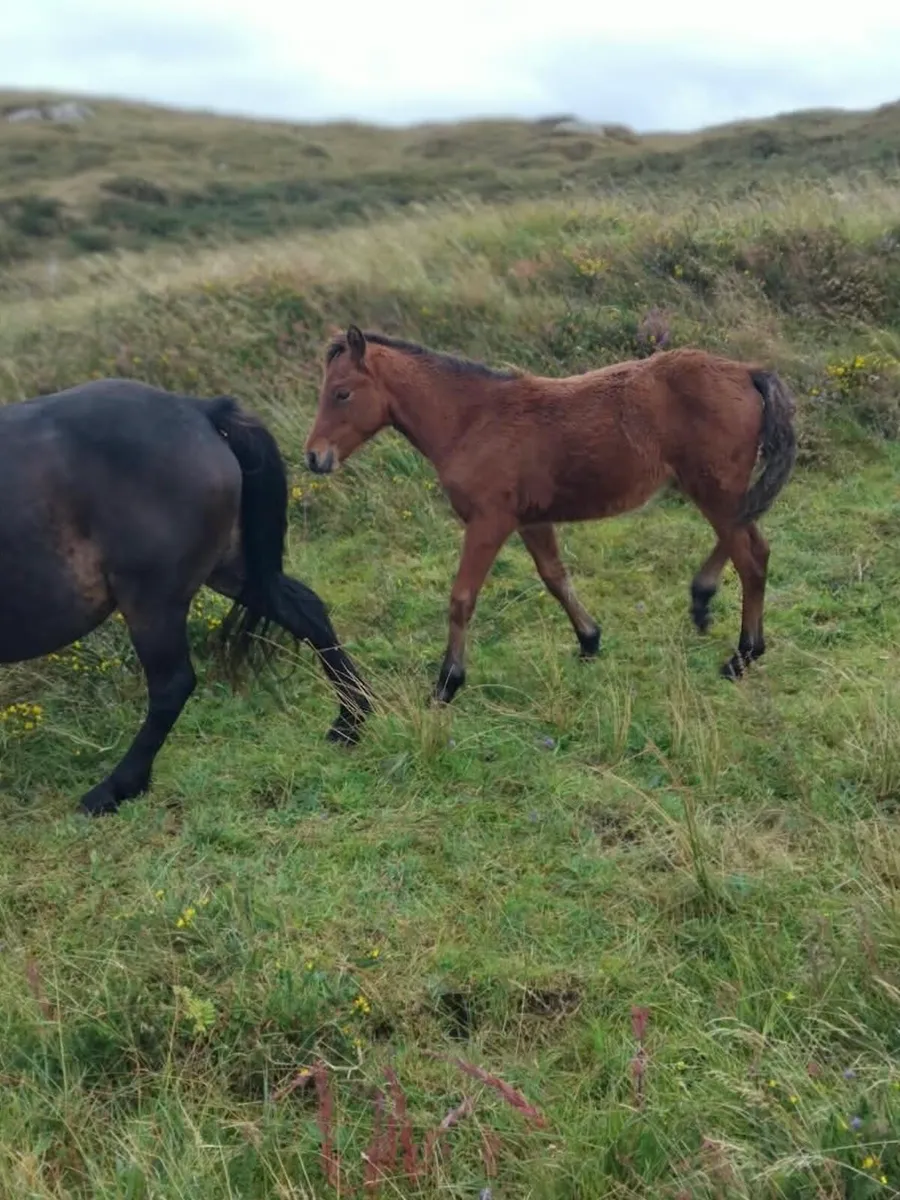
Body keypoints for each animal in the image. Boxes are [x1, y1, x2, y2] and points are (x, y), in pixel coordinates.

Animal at [0, 378, 371, 816]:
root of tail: (198, 410)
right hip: (229, 569)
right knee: (305, 612)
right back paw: (350, 721)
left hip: (153, 598)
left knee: (172, 684)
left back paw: (116, 787)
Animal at [305, 326, 797, 703]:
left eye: (342, 393)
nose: (314, 457)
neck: (472, 421)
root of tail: (747, 371)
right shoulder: (532, 520)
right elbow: (555, 577)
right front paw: (589, 640)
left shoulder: (489, 521)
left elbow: (462, 599)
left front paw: (447, 683)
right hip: (717, 490)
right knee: (754, 543)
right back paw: (703, 599)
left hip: (713, 489)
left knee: (751, 559)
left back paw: (742, 655)